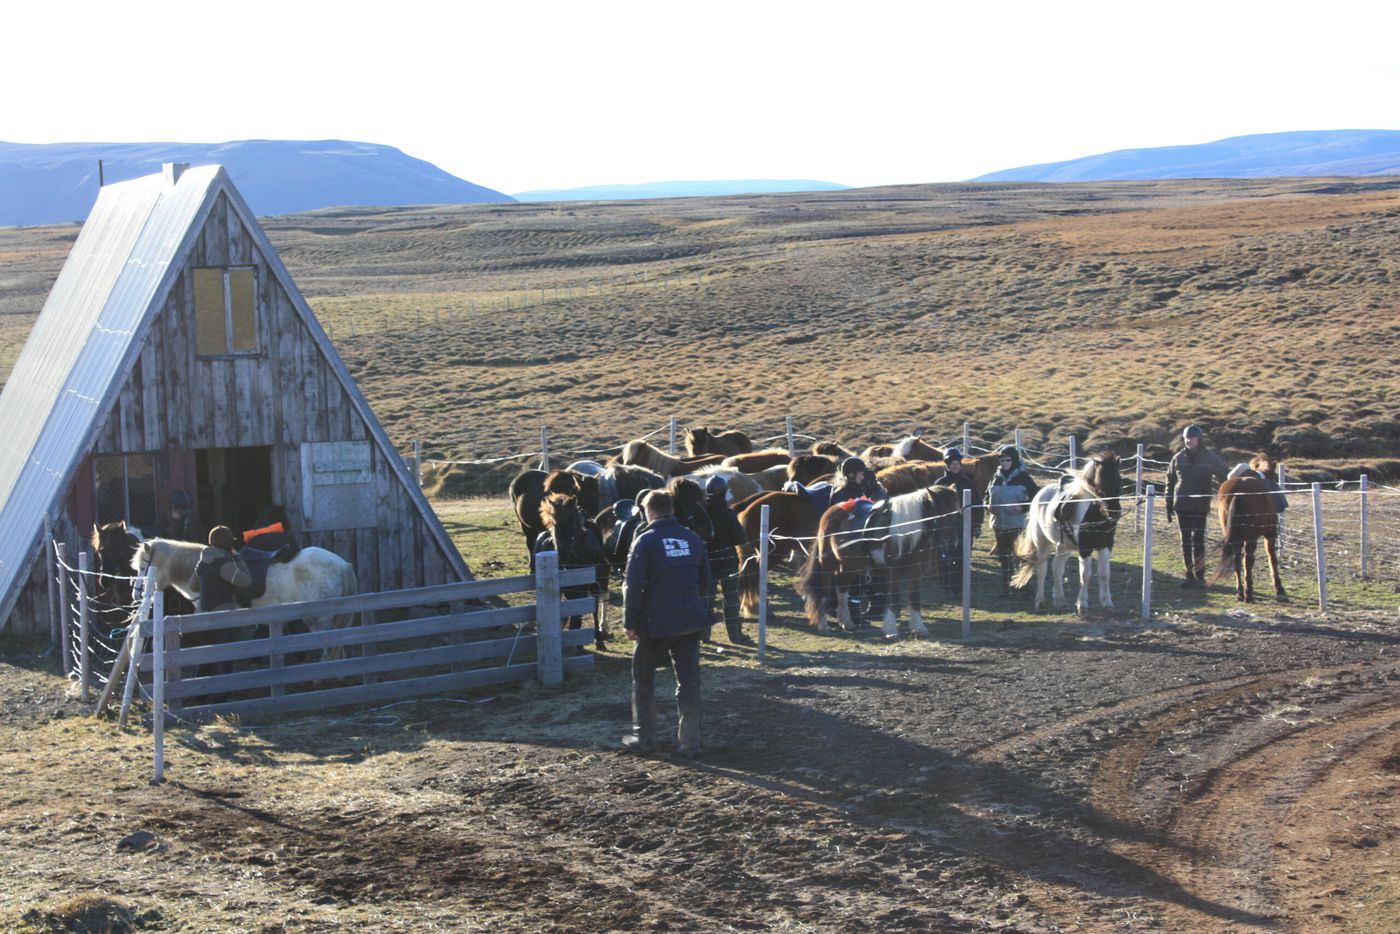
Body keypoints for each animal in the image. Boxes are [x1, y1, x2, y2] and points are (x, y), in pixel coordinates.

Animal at [800, 487, 963, 638]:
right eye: (940, 516)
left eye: (957, 516)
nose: (952, 544)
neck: (906, 536)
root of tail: (833, 509)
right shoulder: (891, 573)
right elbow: (891, 599)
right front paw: (891, 630)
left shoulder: (916, 571)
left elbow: (915, 598)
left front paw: (919, 628)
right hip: (827, 564)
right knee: (824, 591)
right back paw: (823, 626)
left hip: (850, 565)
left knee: (842, 589)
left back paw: (847, 622)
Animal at [1013, 453, 1120, 613]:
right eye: (1101, 480)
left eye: (1118, 478)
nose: (1114, 513)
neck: (1094, 514)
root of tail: (1040, 493)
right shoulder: (1085, 548)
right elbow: (1085, 575)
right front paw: (1082, 605)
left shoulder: (1106, 545)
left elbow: (1104, 574)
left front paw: (1107, 603)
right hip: (1042, 543)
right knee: (1042, 568)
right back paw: (1040, 601)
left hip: (1063, 546)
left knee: (1057, 567)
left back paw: (1060, 600)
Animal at [1209, 476, 1282, 607]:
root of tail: (1238, 492)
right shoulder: (1270, 534)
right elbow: (1272, 558)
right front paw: (1279, 588)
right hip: (1251, 538)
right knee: (1247, 561)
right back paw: (1249, 594)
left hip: (1235, 537)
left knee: (1237, 561)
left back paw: (1240, 593)